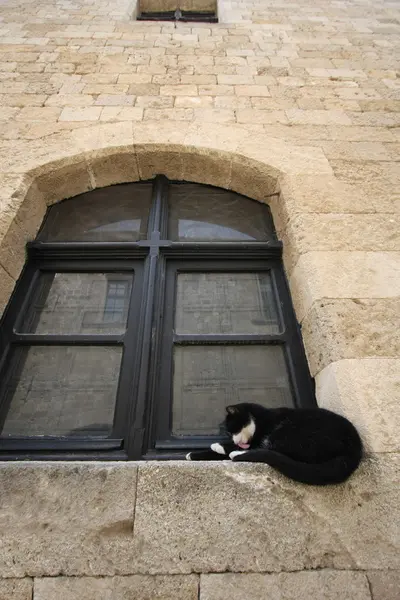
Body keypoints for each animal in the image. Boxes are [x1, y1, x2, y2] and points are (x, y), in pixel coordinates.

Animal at [186, 400, 364, 486]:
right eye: (229, 433)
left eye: (233, 429)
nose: (234, 439)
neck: (260, 419)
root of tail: (355, 448)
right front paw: (191, 454)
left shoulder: (260, 435)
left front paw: (219, 446)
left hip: (292, 433)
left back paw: (237, 454)